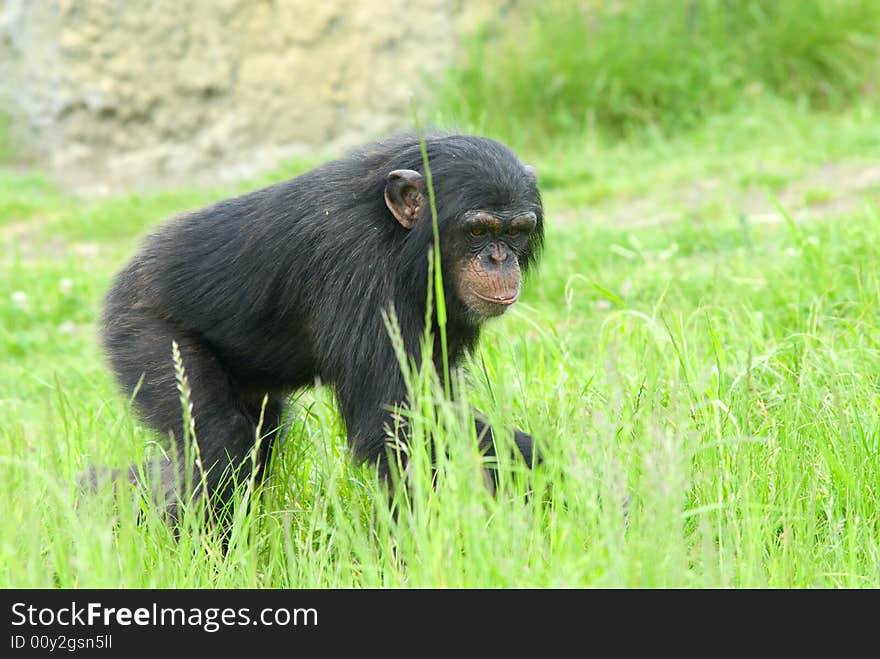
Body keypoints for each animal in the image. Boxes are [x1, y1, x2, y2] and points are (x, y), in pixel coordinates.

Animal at [101, 133, 544, 516]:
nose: (499, 259)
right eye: (479, 229)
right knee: (218, 443)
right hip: (145, 333)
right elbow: (398, 422)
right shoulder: (355, 261)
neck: (401, 240)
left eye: (516, 231)